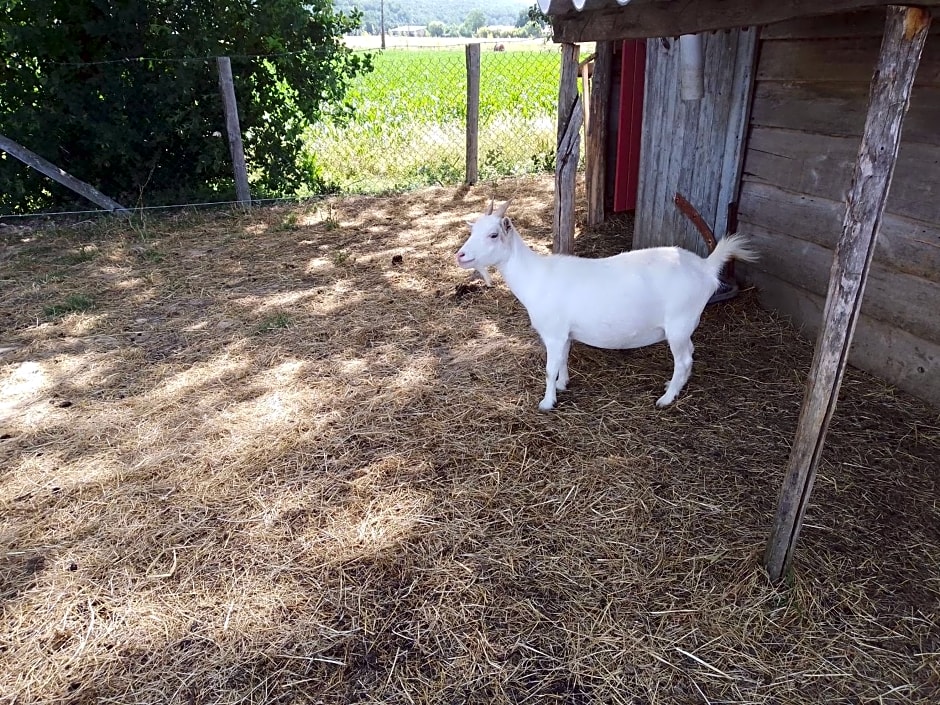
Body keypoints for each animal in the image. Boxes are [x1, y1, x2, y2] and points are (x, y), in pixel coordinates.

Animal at [456, 199, 756, 408]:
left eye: (493, 234)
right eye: (473, 230)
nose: (460, 255)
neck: (536, 276)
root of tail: (706, 266)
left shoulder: (553, 333)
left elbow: (549, 368)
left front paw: (547, 402)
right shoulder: (565, 333)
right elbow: (564, 359)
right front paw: (563, 384)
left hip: (679, 323)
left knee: (683, 360)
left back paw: (666, 399)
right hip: (683, 327)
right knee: (689, 355)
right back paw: (672, 386)